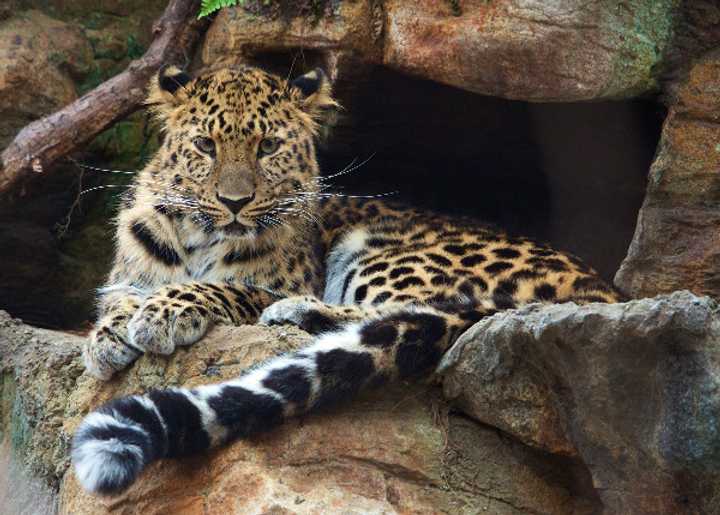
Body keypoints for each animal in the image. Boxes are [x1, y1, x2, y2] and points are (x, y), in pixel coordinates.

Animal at [74, 64, 624, 496]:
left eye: (267, 146)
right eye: (206, 145)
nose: (234, 202)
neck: (199, 239)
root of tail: (605, 293)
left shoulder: (287, 279)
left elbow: (229, 288)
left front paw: (164, 312)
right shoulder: (126, 275)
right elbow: (118, 298)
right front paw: (110, 335)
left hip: (387, 252)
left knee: (401, 310)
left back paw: (295, 313)